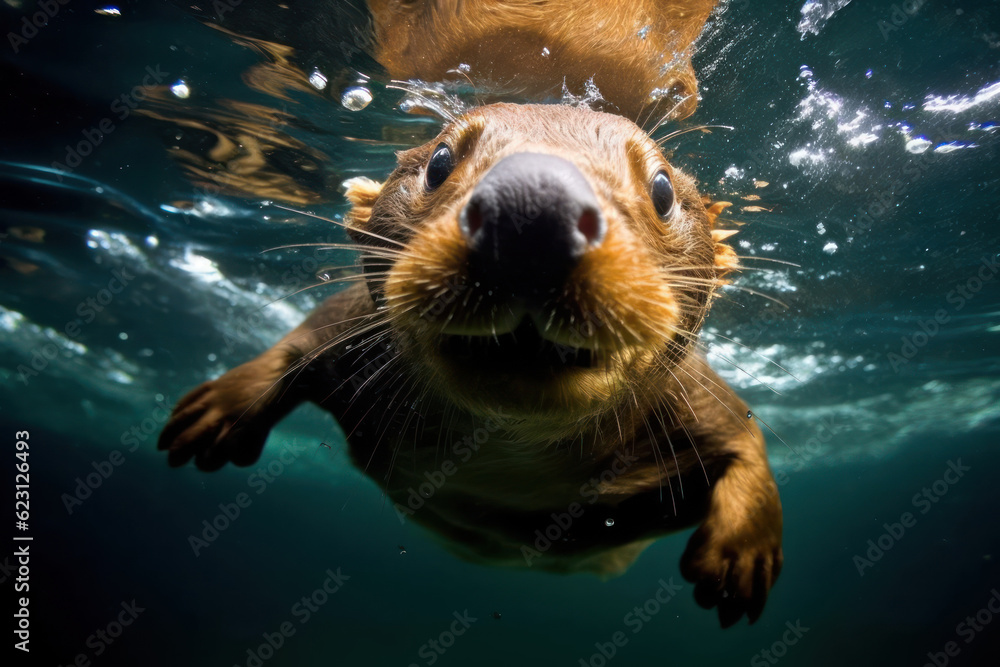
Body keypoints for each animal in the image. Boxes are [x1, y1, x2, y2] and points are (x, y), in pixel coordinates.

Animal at [158, 103, 782, 627]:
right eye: (439, 161)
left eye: (662, 189)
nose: (534, 203)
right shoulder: (348, 330)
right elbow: (295, 343)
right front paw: (216, 410)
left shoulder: (696, 397)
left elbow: (747, 438)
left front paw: (742, 556)